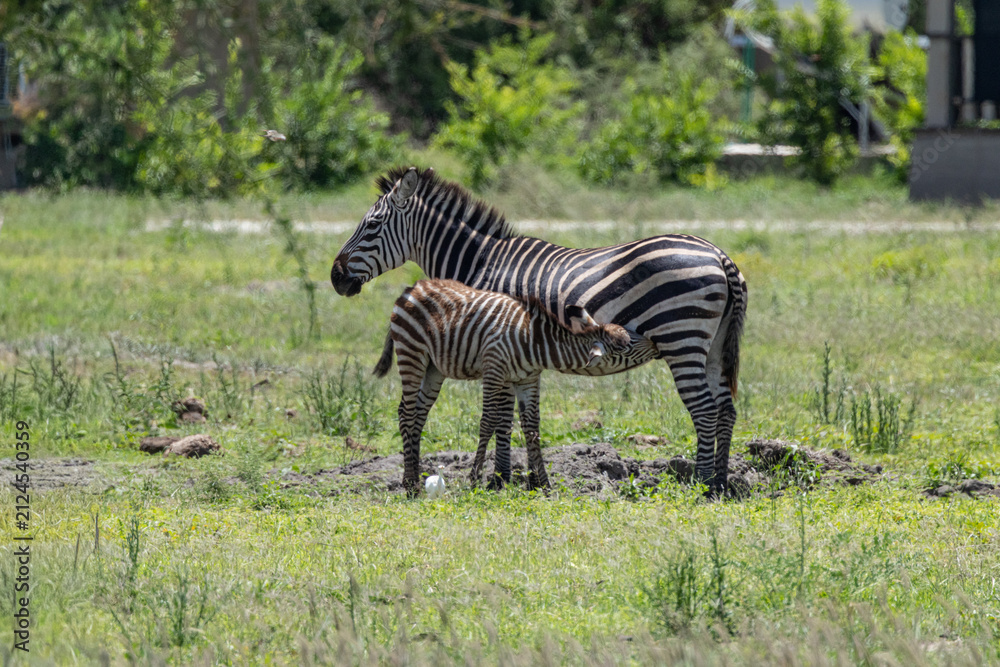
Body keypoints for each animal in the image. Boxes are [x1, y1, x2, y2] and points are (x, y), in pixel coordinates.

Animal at [373, 279, 660, 494]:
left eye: (631, 334)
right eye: (626, 346)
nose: (657, 345)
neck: (535, 343)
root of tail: (413, 287)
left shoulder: (528, 379)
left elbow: (532, 427)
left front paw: (544, 485)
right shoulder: (493, 370)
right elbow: (488, 422)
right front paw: (475, 479)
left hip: (434, 368)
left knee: (417, 415)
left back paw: (413, 478)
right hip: (412, 353)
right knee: (406, 413)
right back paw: (411, 484)